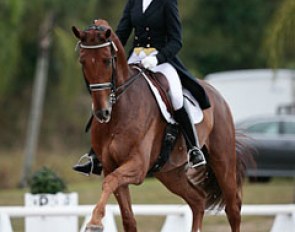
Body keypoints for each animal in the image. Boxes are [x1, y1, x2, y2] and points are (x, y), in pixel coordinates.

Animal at [73, 20, 251, 232]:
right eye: (82, 62)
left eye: (107, 60)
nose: (102, 112)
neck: (119, 113)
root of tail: (217, 95)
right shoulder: (111, 166)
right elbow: (128, 218)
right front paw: (98, 220)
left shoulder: (137, 166)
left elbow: (109, 182)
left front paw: (95, 222)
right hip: (169, 172)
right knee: (198, 200)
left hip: (222, 160)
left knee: (233, 208)